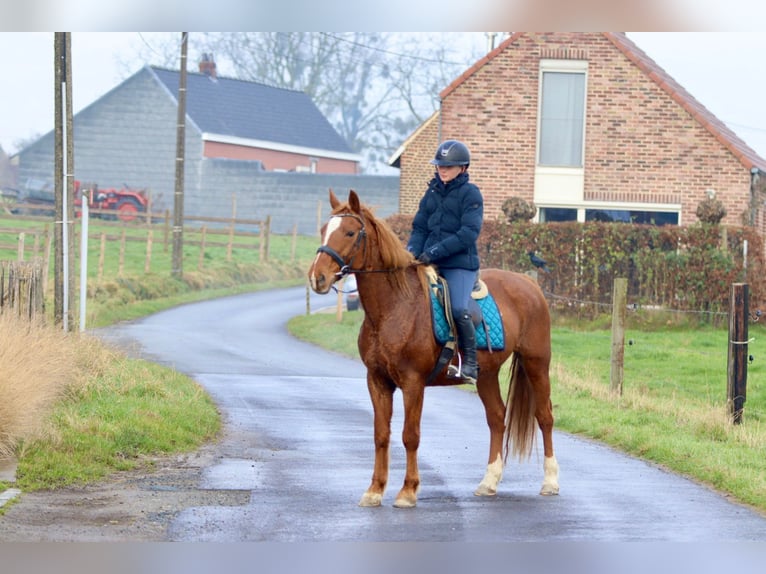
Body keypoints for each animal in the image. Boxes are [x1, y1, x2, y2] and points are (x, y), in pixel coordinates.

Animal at [308, 189, 559, 508]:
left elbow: (410, 435)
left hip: (536, 363)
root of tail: (529, 283)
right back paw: (489, 482)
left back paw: (550, 482)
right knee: (497, 419)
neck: (395, 307)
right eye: (323, 230)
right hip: (487, 374)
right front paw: (374, 490)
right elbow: (381, 434)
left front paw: (408, 491)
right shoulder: (377, 381)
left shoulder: (413, 383)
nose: (317, 277)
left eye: (350, 232)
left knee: (544, 416)